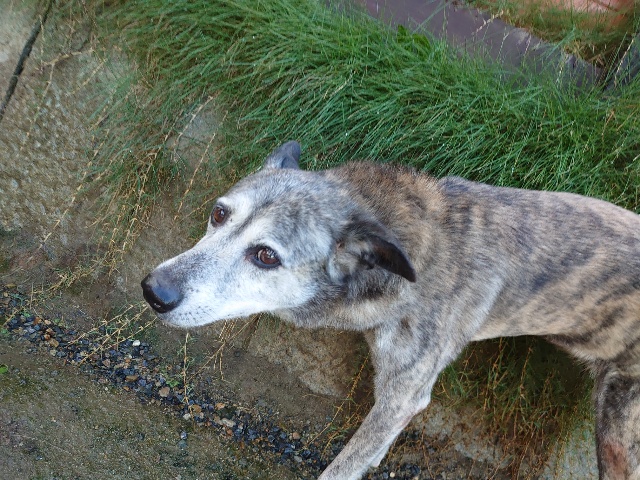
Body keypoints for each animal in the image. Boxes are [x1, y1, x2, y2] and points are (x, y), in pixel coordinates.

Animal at [141, 141, 640, 480]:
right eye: (219, 214)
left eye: (266, 255)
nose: (154, 291)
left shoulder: (403, 397)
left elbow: (345, 466)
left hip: (617, 436)